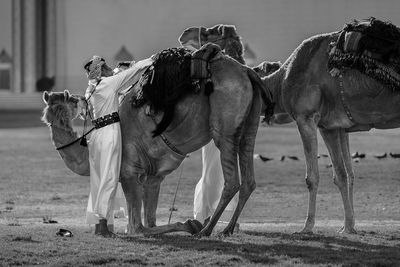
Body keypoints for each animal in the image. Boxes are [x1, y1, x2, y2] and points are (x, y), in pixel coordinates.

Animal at [43, 43, 276, 238]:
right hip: (249, 123)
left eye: (68, 101)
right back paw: (226, 229)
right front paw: (189, 224)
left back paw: (207, 230)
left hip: (225, 123)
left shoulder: (129, 172)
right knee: (248, 175)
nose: (50, 112)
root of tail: (246, 71)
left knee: (231, 179)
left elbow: (138, 228)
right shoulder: (153, 176)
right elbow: (150, 222)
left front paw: (191, 224)